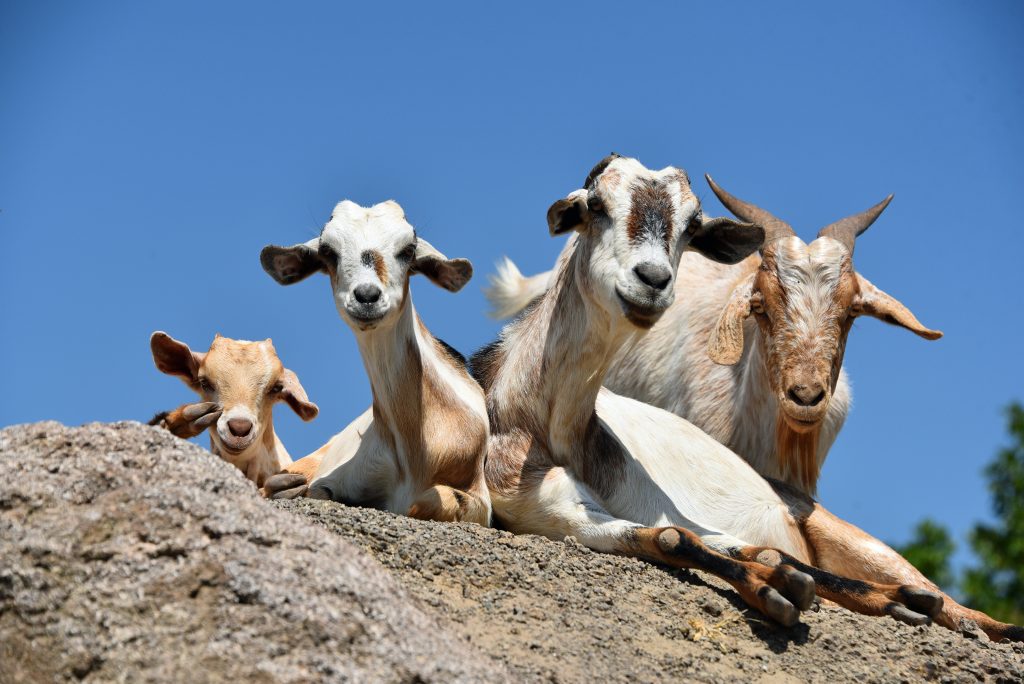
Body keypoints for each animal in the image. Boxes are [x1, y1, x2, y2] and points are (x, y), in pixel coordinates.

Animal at [259, 200, 491, 526]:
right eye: (328, 251)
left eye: (408, 249)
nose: (367, 296)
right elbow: (318, 491)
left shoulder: (480, 499)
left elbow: (427, 502)